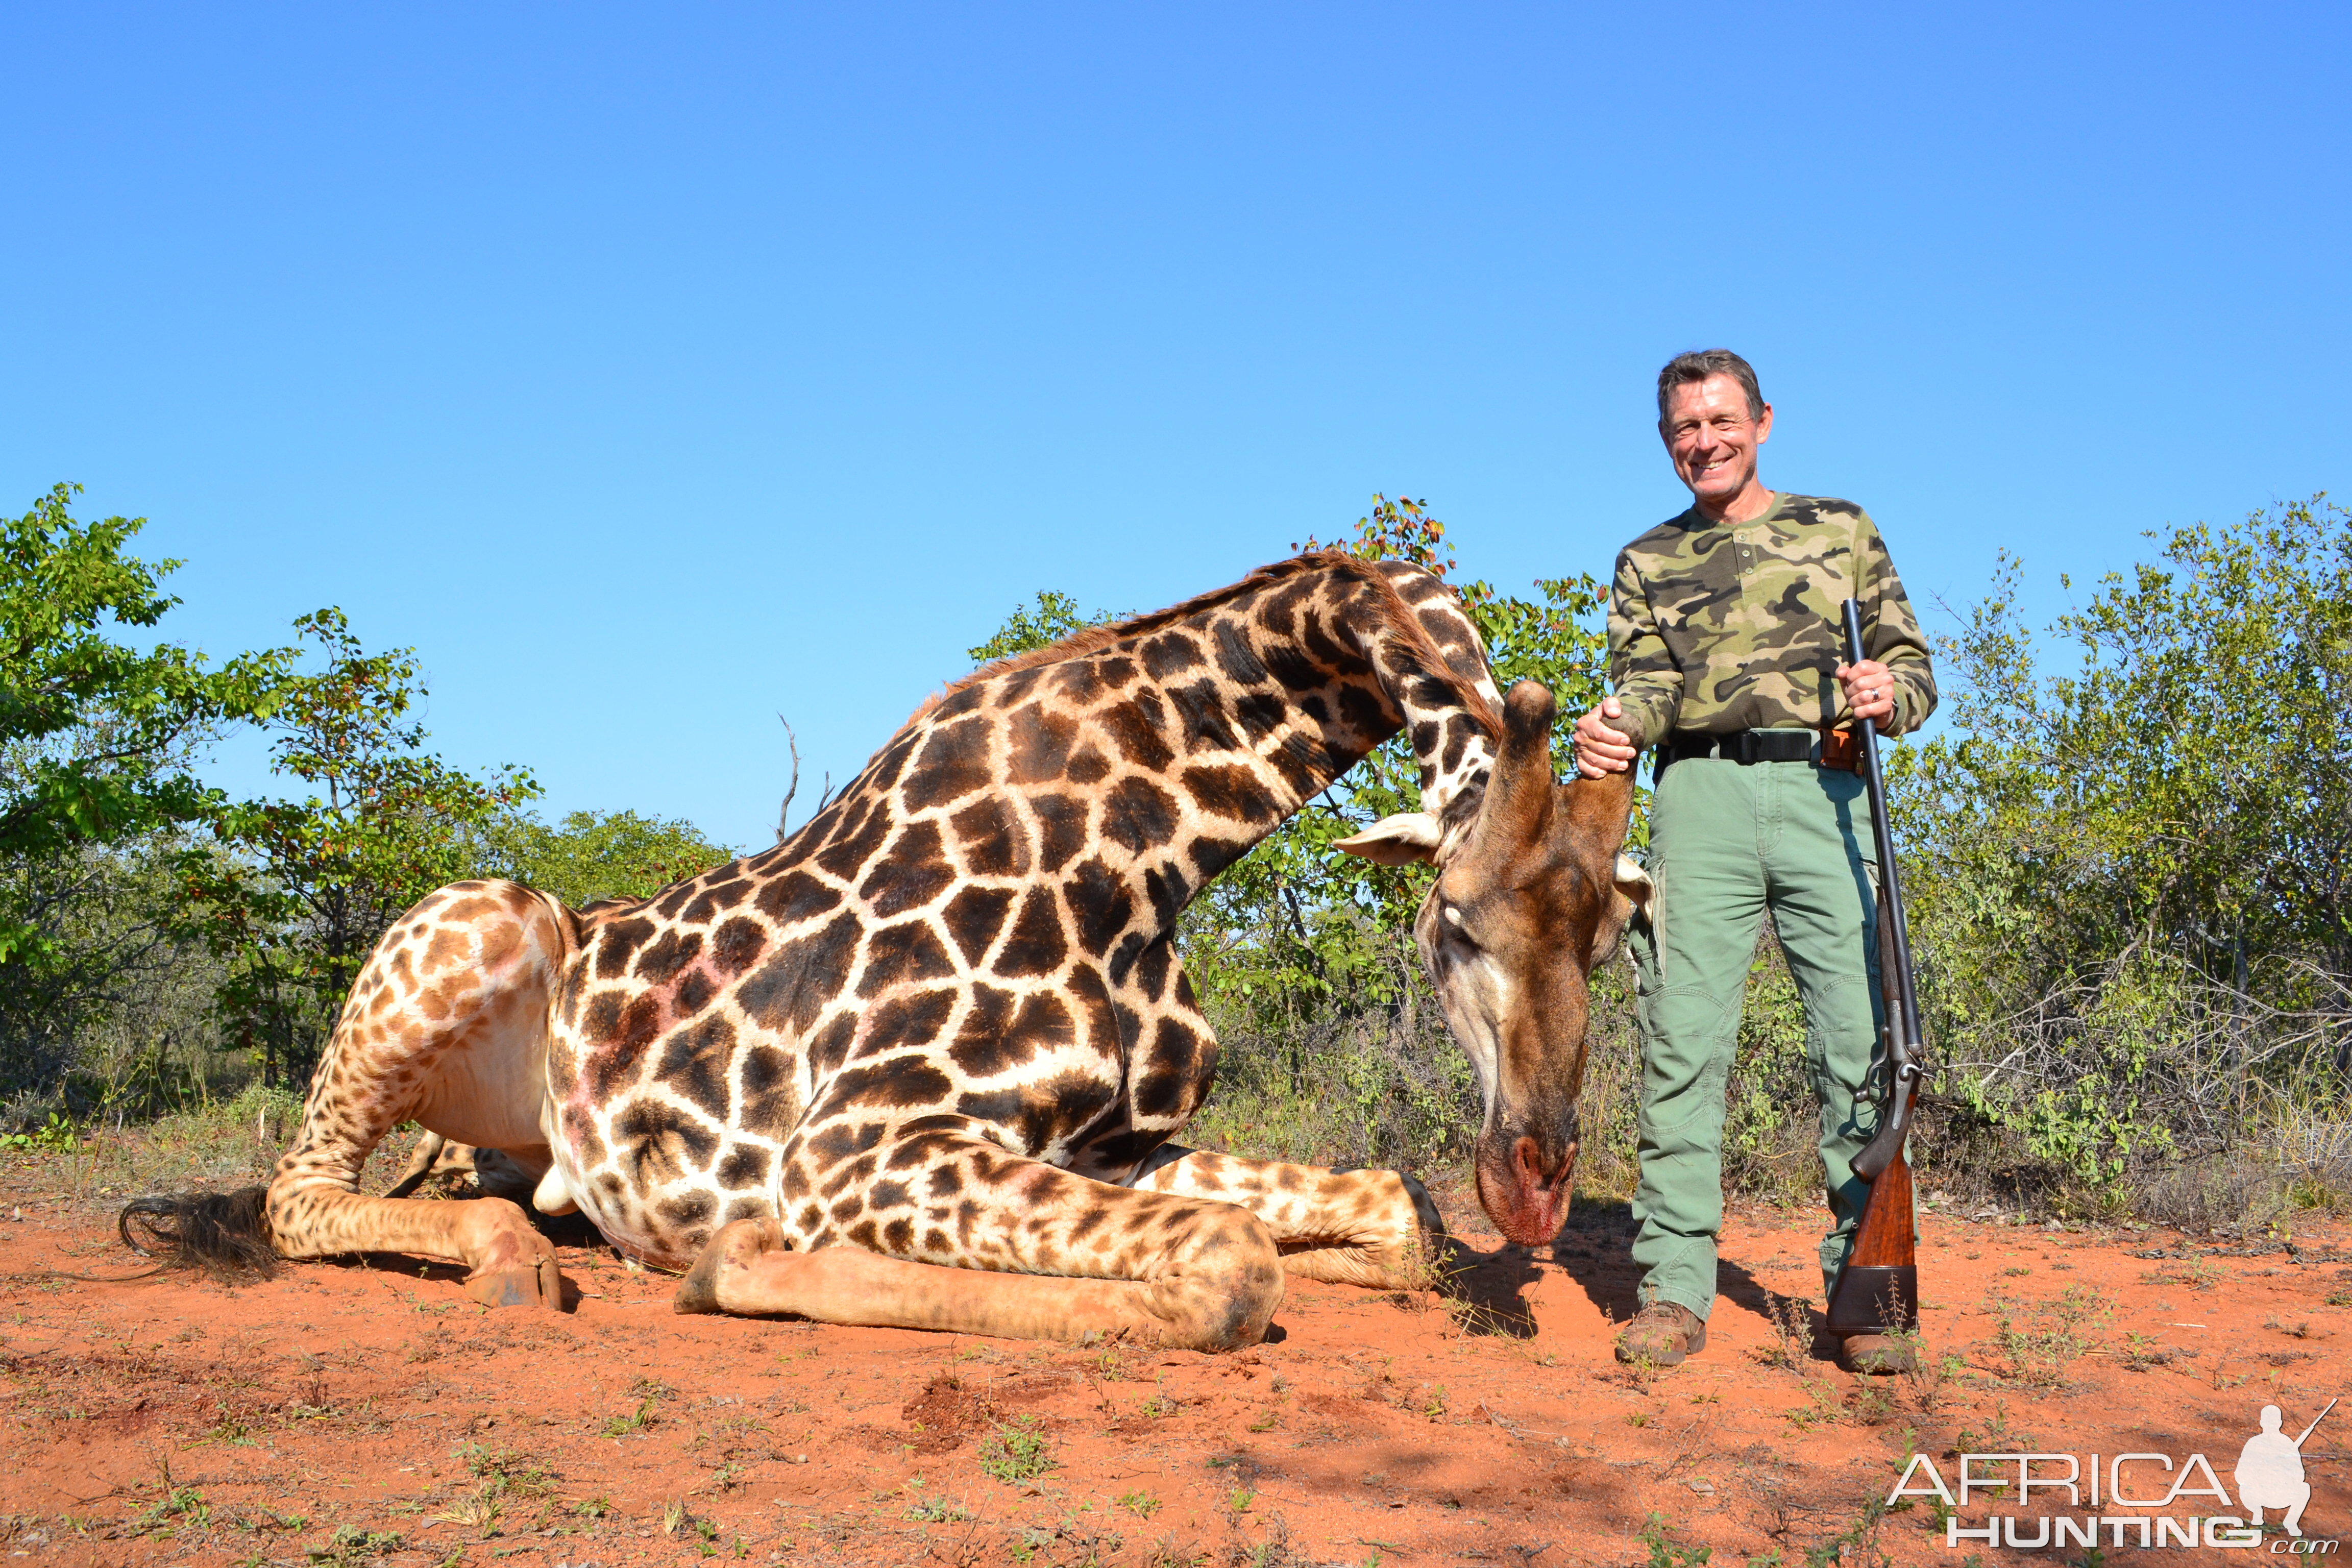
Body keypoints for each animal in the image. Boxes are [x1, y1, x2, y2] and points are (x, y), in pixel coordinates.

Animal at [119, 552, 1646, 1354]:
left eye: (1617, 930)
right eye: (1456, 919)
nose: (1534, 1178)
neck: (1148, 848)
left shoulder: (1111, 1141)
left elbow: (1392, 1213)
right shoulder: (855, 1146)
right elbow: (1227, 1270)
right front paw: (733, 1260)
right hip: (483, 918)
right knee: (295, 1196)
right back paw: (512, 1262)